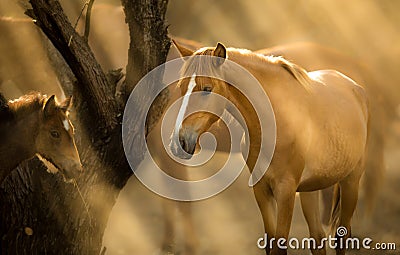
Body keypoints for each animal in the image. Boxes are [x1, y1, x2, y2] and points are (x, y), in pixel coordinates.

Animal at [171, 41, 368, 253]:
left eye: (207, 88)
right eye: (182, 87)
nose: (179, 141)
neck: (275, 119)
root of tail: (354, 87)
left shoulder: (286, 191)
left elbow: (280, 245)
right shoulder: (261, 190)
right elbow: (270, 242)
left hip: (351, 182)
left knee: (341, 236)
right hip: (310, 190)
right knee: (317, 238)